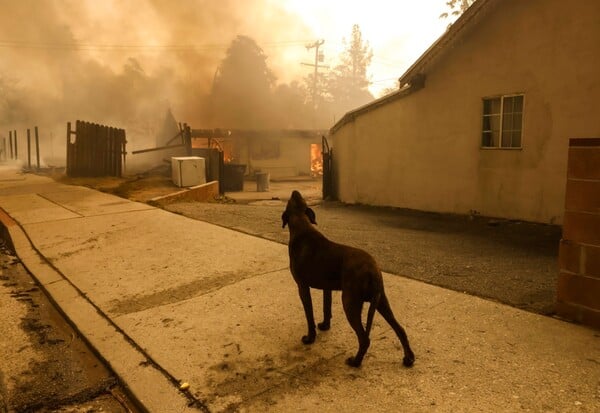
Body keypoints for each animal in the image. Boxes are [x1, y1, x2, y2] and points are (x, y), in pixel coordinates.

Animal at [280, 191, 412, 366]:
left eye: (290, 200)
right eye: (299, 199)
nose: (295, 191)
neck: (302, 225)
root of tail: (373, 269)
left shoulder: (302, 287)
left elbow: (310, 316)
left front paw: (310, 338)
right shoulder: (327, 288)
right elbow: (326, 308)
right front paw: (324, 326)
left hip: (350, 302)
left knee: (364, 338)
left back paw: (356, 361)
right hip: (381, 301)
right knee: (400, 329)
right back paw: (409, 358)